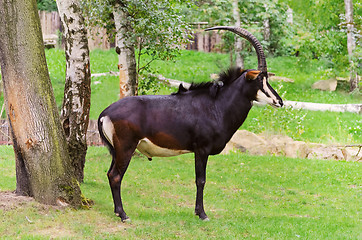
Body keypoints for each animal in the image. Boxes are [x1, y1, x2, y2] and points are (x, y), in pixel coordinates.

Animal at [98, 25, 282, 221]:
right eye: (259, 79)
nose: (279, 101)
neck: (216, 105)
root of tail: (105, 113)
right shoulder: (202, 150)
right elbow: (200, 180)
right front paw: (202, 213)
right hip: (126, 148)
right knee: (116, 176)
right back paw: (123, 214)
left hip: (116, 150)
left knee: (110, 174)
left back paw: (117, 211)